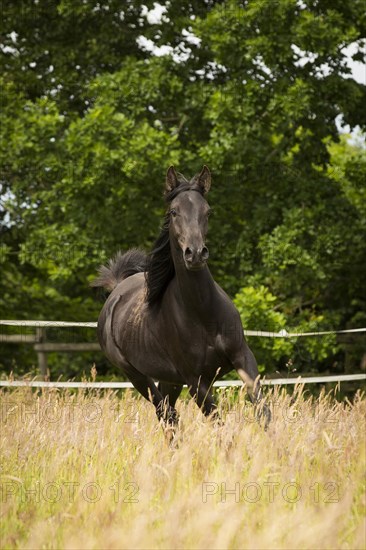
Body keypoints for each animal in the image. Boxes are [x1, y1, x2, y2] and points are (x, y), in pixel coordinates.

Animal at [91, 166, 268, 434]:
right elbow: (219, 424)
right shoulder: (195, 380)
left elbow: (262, 410)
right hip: (138, 376)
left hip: (170, 380)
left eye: (207, 211)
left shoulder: (243, 356)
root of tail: (116, 292)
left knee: (169, 415)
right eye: (173, 212)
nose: (195, 254)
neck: (203, 314)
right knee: (166, 415)